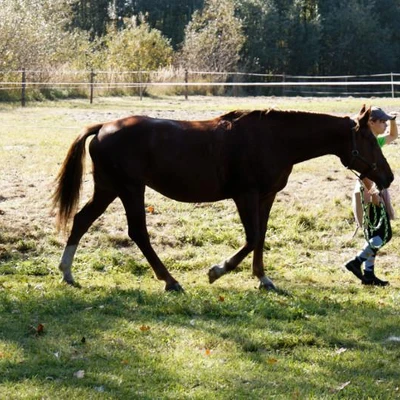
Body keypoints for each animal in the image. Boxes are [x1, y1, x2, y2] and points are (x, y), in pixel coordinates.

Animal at [53, 104, 394, 290]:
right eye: (368, 140)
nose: (388, 177)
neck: (274, 138)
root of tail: (103, 127)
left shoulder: (266, 197)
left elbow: (261, 237)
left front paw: (262, 278)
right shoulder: (245, 195)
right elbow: (251, 238)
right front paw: (218, 270)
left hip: (109, 189)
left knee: (81, 220)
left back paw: (67, 272)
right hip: (130, 190)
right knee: (138, 233)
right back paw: (170, 281)